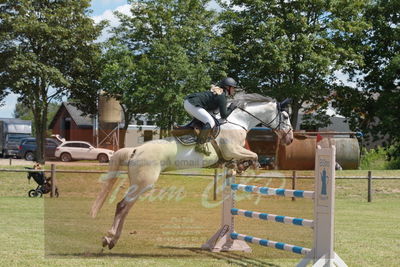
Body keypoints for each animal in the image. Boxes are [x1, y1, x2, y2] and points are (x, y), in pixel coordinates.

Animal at [92, 93, 296, 250]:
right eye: (286, 117)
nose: (290, 139)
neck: (237, 122)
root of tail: (135, 150)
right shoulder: (233, 150)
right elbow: (253, 155)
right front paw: (249, 165)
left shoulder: (232, 153)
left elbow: (242, 159)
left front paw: (240, 167)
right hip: (144, 183)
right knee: (122, 206)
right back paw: (108, 238)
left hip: (139, 184)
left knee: (126, 208)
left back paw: (113, 239)